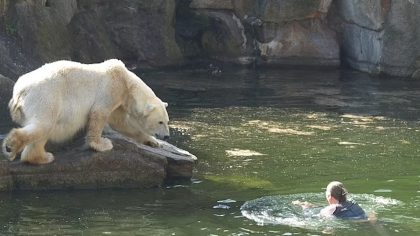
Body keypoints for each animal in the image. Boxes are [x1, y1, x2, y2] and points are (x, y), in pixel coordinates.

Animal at [2, 59, 169, 164]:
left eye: (167, 121)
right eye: (160, 122)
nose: (167, 136)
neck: (127, 82)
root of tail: (19, 92)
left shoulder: (119, 100)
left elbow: (122, 123)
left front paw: (154, 142)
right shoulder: (111, 89)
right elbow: (99, 114)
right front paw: (102, 144)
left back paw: (40, 156)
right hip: (46, 96)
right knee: (44, 125)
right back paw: (13, 147)